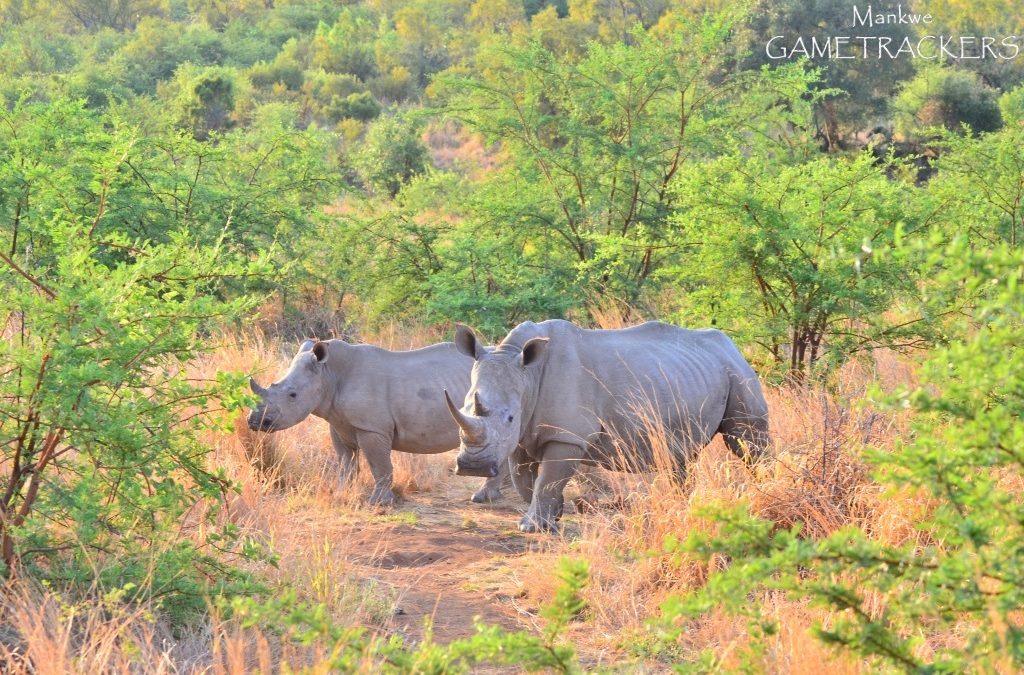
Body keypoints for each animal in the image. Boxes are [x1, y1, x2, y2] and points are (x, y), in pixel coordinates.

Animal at [247, 339, 508, 505]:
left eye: (292, 395)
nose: (255, 421)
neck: (329, 374)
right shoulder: (338, 424)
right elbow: (346, 463)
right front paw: (341, 493)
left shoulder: (372, 428)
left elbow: (379, 465)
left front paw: (379, 502)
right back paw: (492, 495)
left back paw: (482, 498)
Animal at [445, 320, 769, 532]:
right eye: (463, 408)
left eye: (509, 417)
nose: (472, 466)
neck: (527, 374)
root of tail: (733, 346)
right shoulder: (524, 434)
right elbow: (525, 480)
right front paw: (554, 516)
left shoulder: (567, 435)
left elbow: (546, 479)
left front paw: (532, 527)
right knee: (679, 457)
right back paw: (683, 505)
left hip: (737, 370)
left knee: (746, 441)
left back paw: (765, 490)